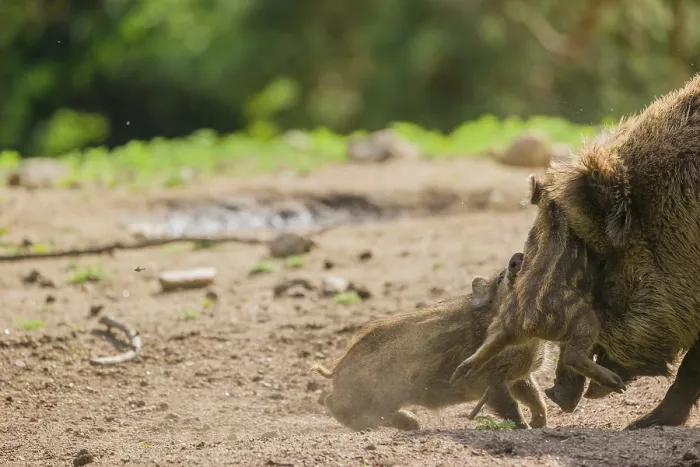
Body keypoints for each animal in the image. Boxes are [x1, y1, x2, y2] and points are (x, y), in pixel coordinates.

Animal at [312, 253, 548, 431]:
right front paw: (526, 428)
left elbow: (535, 396)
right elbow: (510, 405)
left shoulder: (518, 374)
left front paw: (541, 424)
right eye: (500, 280)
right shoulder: (485, 379)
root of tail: (336, 370)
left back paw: (412, 423)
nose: (518, 257)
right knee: (332, 403)